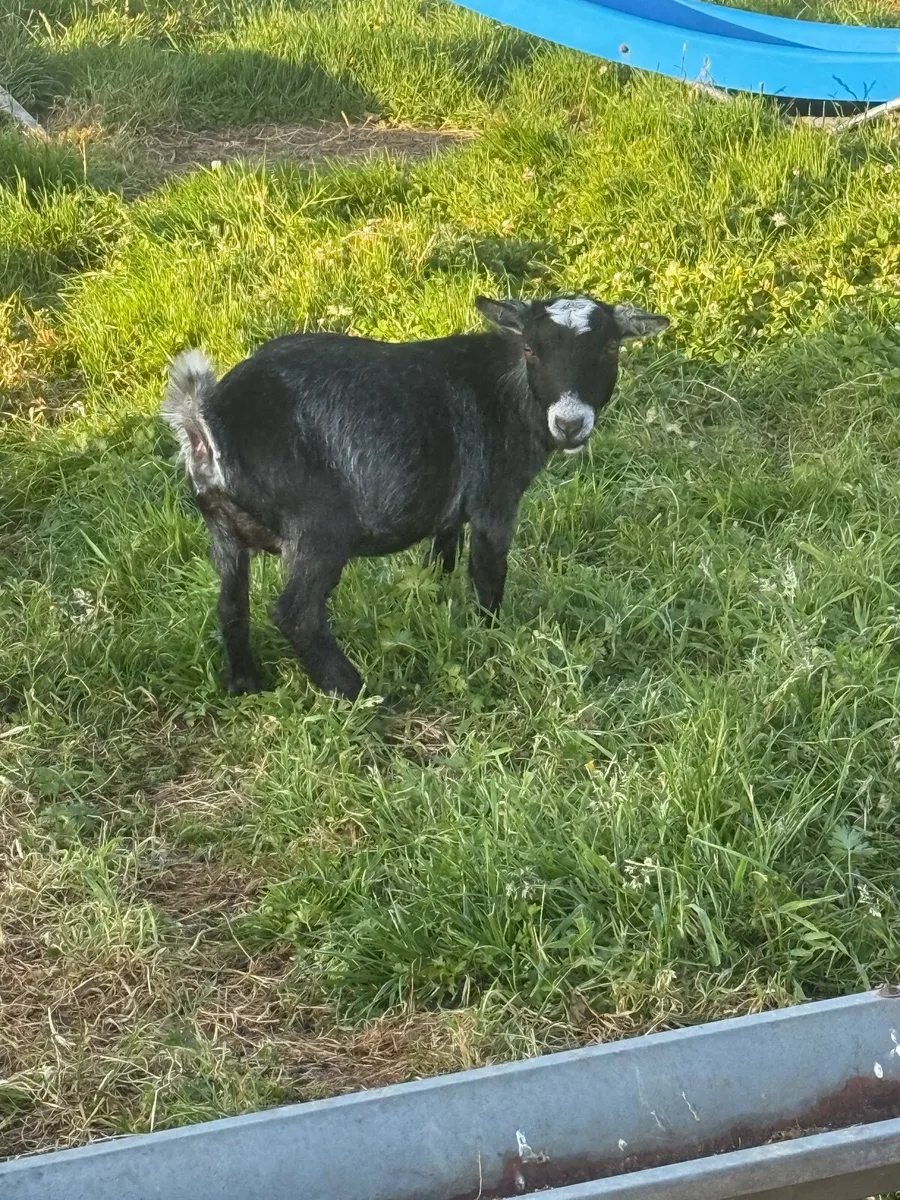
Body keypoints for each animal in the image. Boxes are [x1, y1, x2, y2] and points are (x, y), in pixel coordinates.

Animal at [161, 295, 669, 700]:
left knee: (231, 605)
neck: (507, 391)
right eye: (530, 348)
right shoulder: (494, 497)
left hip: (222, 528)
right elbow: (488, 573)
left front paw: (438, 604)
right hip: (318, 526)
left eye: (609, 346)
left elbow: (443, 555)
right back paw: (358, 693)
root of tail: (205, 424)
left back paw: (245, 684)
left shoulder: (450, 505)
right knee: (295, 614)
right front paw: (491, 637)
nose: (569, 423)